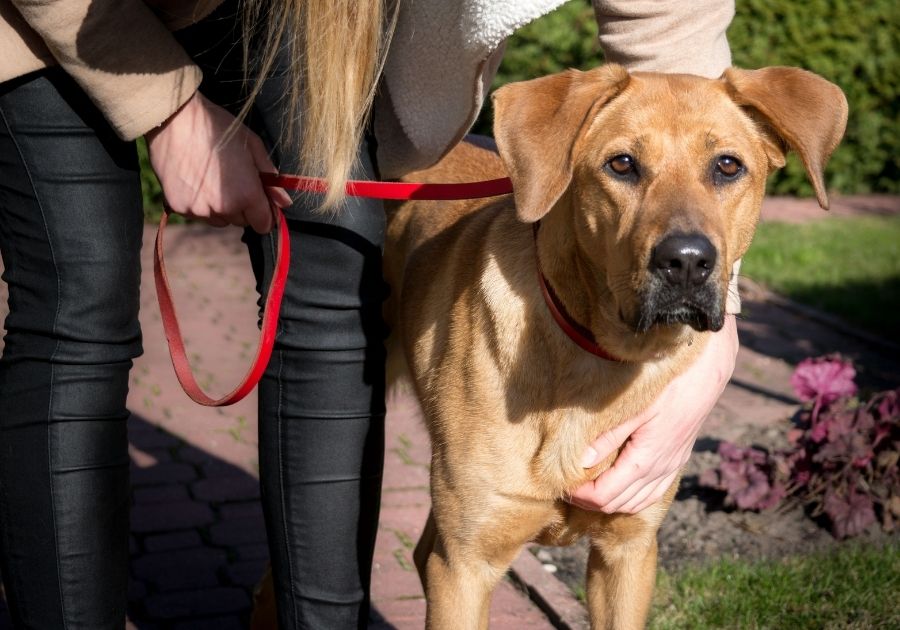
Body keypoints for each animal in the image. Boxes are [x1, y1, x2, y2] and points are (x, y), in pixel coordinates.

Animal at [384, 65, 848, 630]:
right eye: (622, 164)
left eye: (727, 166)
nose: (687, 261)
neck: (600, 363)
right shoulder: (467, 564)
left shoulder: (629, 550)